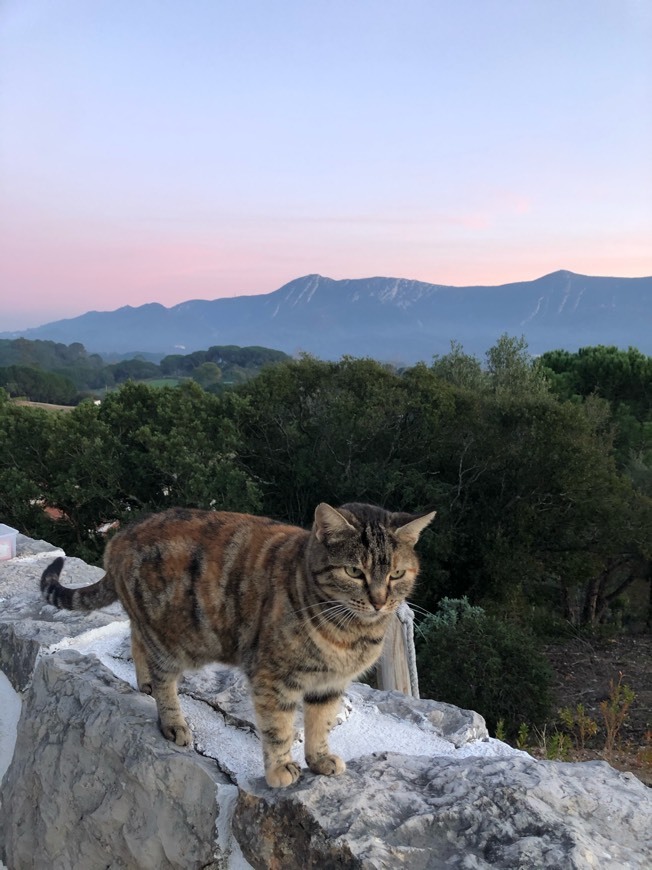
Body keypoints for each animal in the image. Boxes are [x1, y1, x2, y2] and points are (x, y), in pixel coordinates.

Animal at [43, 498, 436, 792]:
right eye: (354, 572)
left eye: (396, 574)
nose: (379, 601)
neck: (349, 630)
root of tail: (120, 537)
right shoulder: (273, 679)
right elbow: (279, 729)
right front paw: (280, 770)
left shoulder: (329, 684)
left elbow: (319, 724)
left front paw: (319, 759)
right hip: (173, 639)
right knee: (163, 675)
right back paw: (172, 720)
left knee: (137, 641)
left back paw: (144, 682)